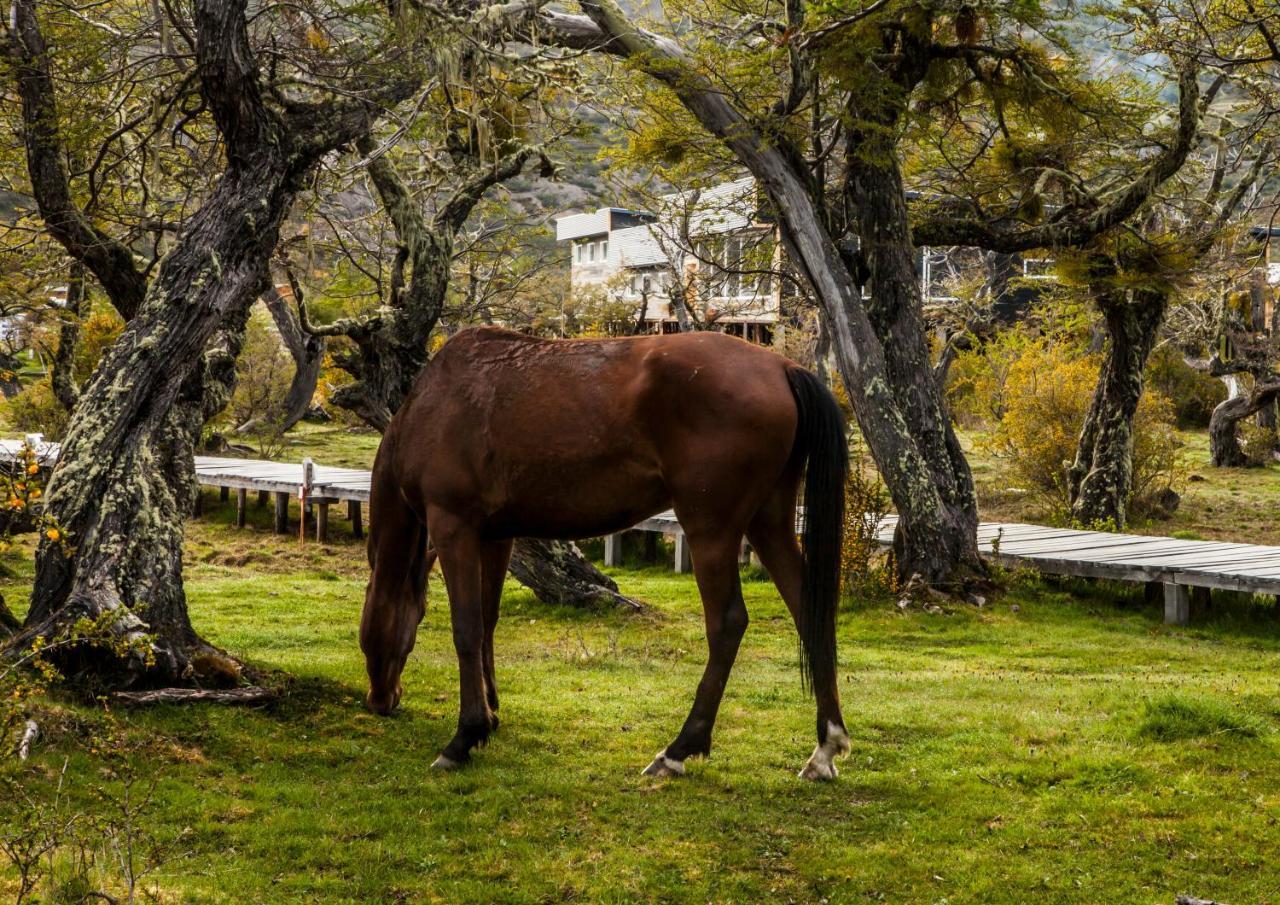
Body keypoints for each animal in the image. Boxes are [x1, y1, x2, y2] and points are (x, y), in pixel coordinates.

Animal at [360, 325, 855, 778]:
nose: (380, 699)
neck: (432, 404)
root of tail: (783, 367)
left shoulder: (453, 526)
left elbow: (466, 629)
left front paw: (465, 736)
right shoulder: (495, 537)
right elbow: (486, 623)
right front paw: (491, 714)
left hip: (711, 530)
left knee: (727, 623)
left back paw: (679, 749)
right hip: (768, 522)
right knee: (807, 608)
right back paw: (824, 748)